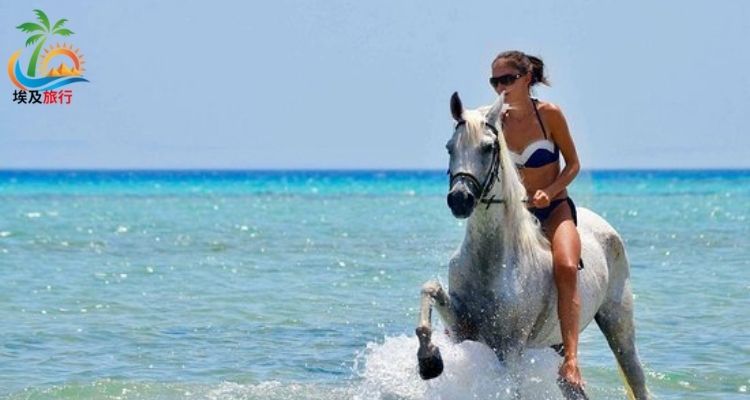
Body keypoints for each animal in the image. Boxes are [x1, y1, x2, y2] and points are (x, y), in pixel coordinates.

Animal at [415, 92, 650, 399]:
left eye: (488, 147)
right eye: (449, 147)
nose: (459, 199)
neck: (493, 261)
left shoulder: (510, 348)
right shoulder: (462, 328)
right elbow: (429, 289)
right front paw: (429, 360)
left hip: (619, 325)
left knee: (635, 375)